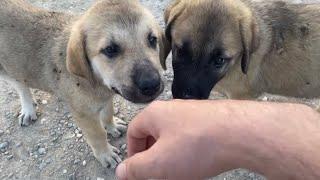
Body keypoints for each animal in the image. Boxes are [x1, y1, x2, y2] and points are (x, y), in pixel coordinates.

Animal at [0, 0, 165, 169]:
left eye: (152, 39)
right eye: (110, 49)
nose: (152, 84)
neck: (95, 82)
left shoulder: (106, 97)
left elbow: (108, 113)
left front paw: (111, 126)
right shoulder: (84, 114)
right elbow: (98, 135)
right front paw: (105, 154)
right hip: (4, 69)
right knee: (19, 85)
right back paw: (28, 108)